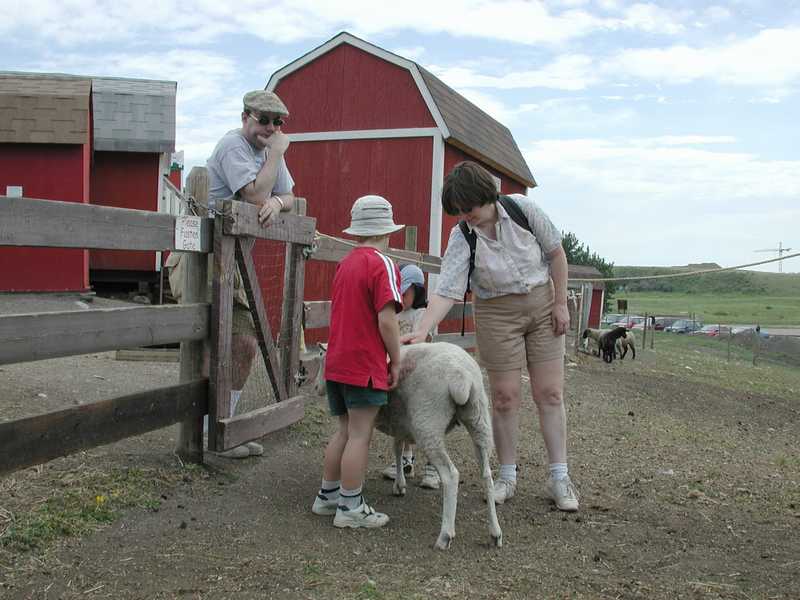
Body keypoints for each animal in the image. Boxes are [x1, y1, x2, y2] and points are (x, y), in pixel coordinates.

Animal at [314, 342, 502, 551]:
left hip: (427, 422)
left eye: (321, 358)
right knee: (486, 475)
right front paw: (399, 483)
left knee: (451, 475)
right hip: (479, 417)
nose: (316, 387)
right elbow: (397, 448)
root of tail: (462, 376)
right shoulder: (400, 422)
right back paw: (495, 532)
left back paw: (445, 535)